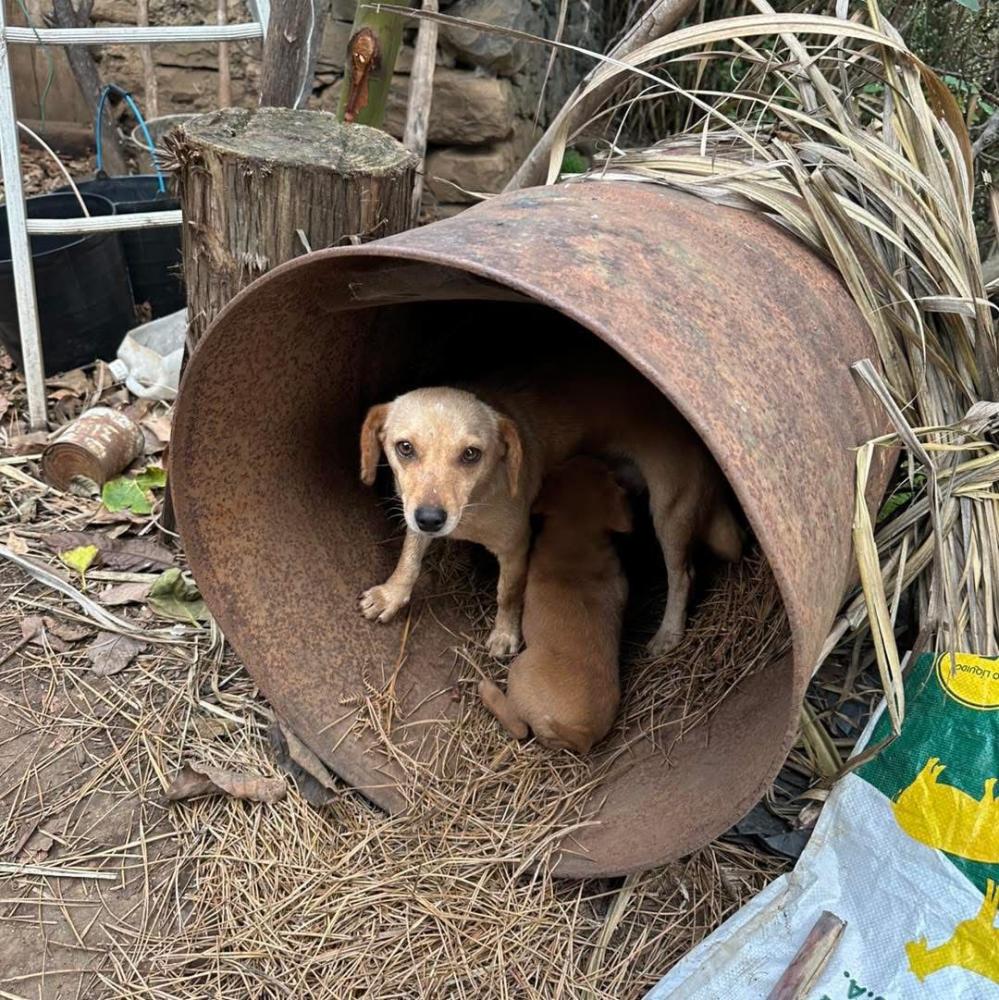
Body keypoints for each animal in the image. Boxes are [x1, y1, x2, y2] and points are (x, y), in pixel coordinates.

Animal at [362, 352, 744, 656]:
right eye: (405, 448)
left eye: (471, 454)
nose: (431, 519)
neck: (475, 503)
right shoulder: (413, 512)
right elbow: (409, 558)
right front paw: (391, 595)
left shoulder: (516, 548)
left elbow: (508, 593)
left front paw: (505, 634)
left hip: (670, 514)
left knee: (682, 576)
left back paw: (669, 633)